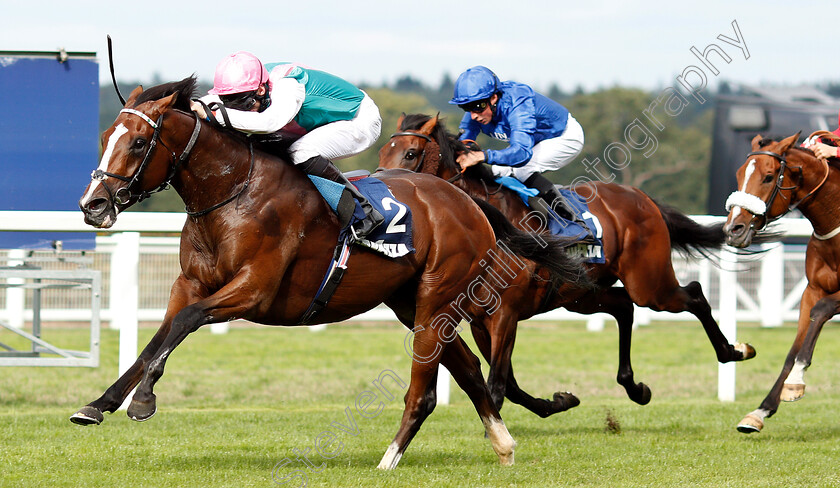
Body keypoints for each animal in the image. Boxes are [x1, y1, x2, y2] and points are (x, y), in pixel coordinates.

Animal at [72, 78, 588, 470]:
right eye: (105, 137)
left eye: (139, 142)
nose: (92, 205)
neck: (233, 192)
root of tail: (466, 201)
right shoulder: (189, 284)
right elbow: (156, 339)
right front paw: (98, 404)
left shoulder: (252, 290)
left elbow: (183, 323)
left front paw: (143, 401)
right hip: (411, 303)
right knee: (468, 368)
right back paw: (502, 444)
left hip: (437, 298)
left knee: (425, 389)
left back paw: (389, 459)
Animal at [378, 112, 756, 414]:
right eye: (383, 150)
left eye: (411, 153)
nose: (388, 186)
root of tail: (642, 197)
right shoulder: (478, 321)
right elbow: (509, 385)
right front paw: (559, 401)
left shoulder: (505, 314)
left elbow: (498, 385)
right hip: (581, 294)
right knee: (624, 306)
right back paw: (635, 387)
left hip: (649, 284)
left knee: (693, 294)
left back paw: (733, 351)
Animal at [720, 132, 840, 432]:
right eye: (739, 174)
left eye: (768, 176)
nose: (733, 229)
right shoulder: (812, 290)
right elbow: (794, 347)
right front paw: (760, 411)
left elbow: (822, 309)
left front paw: (796, 381)